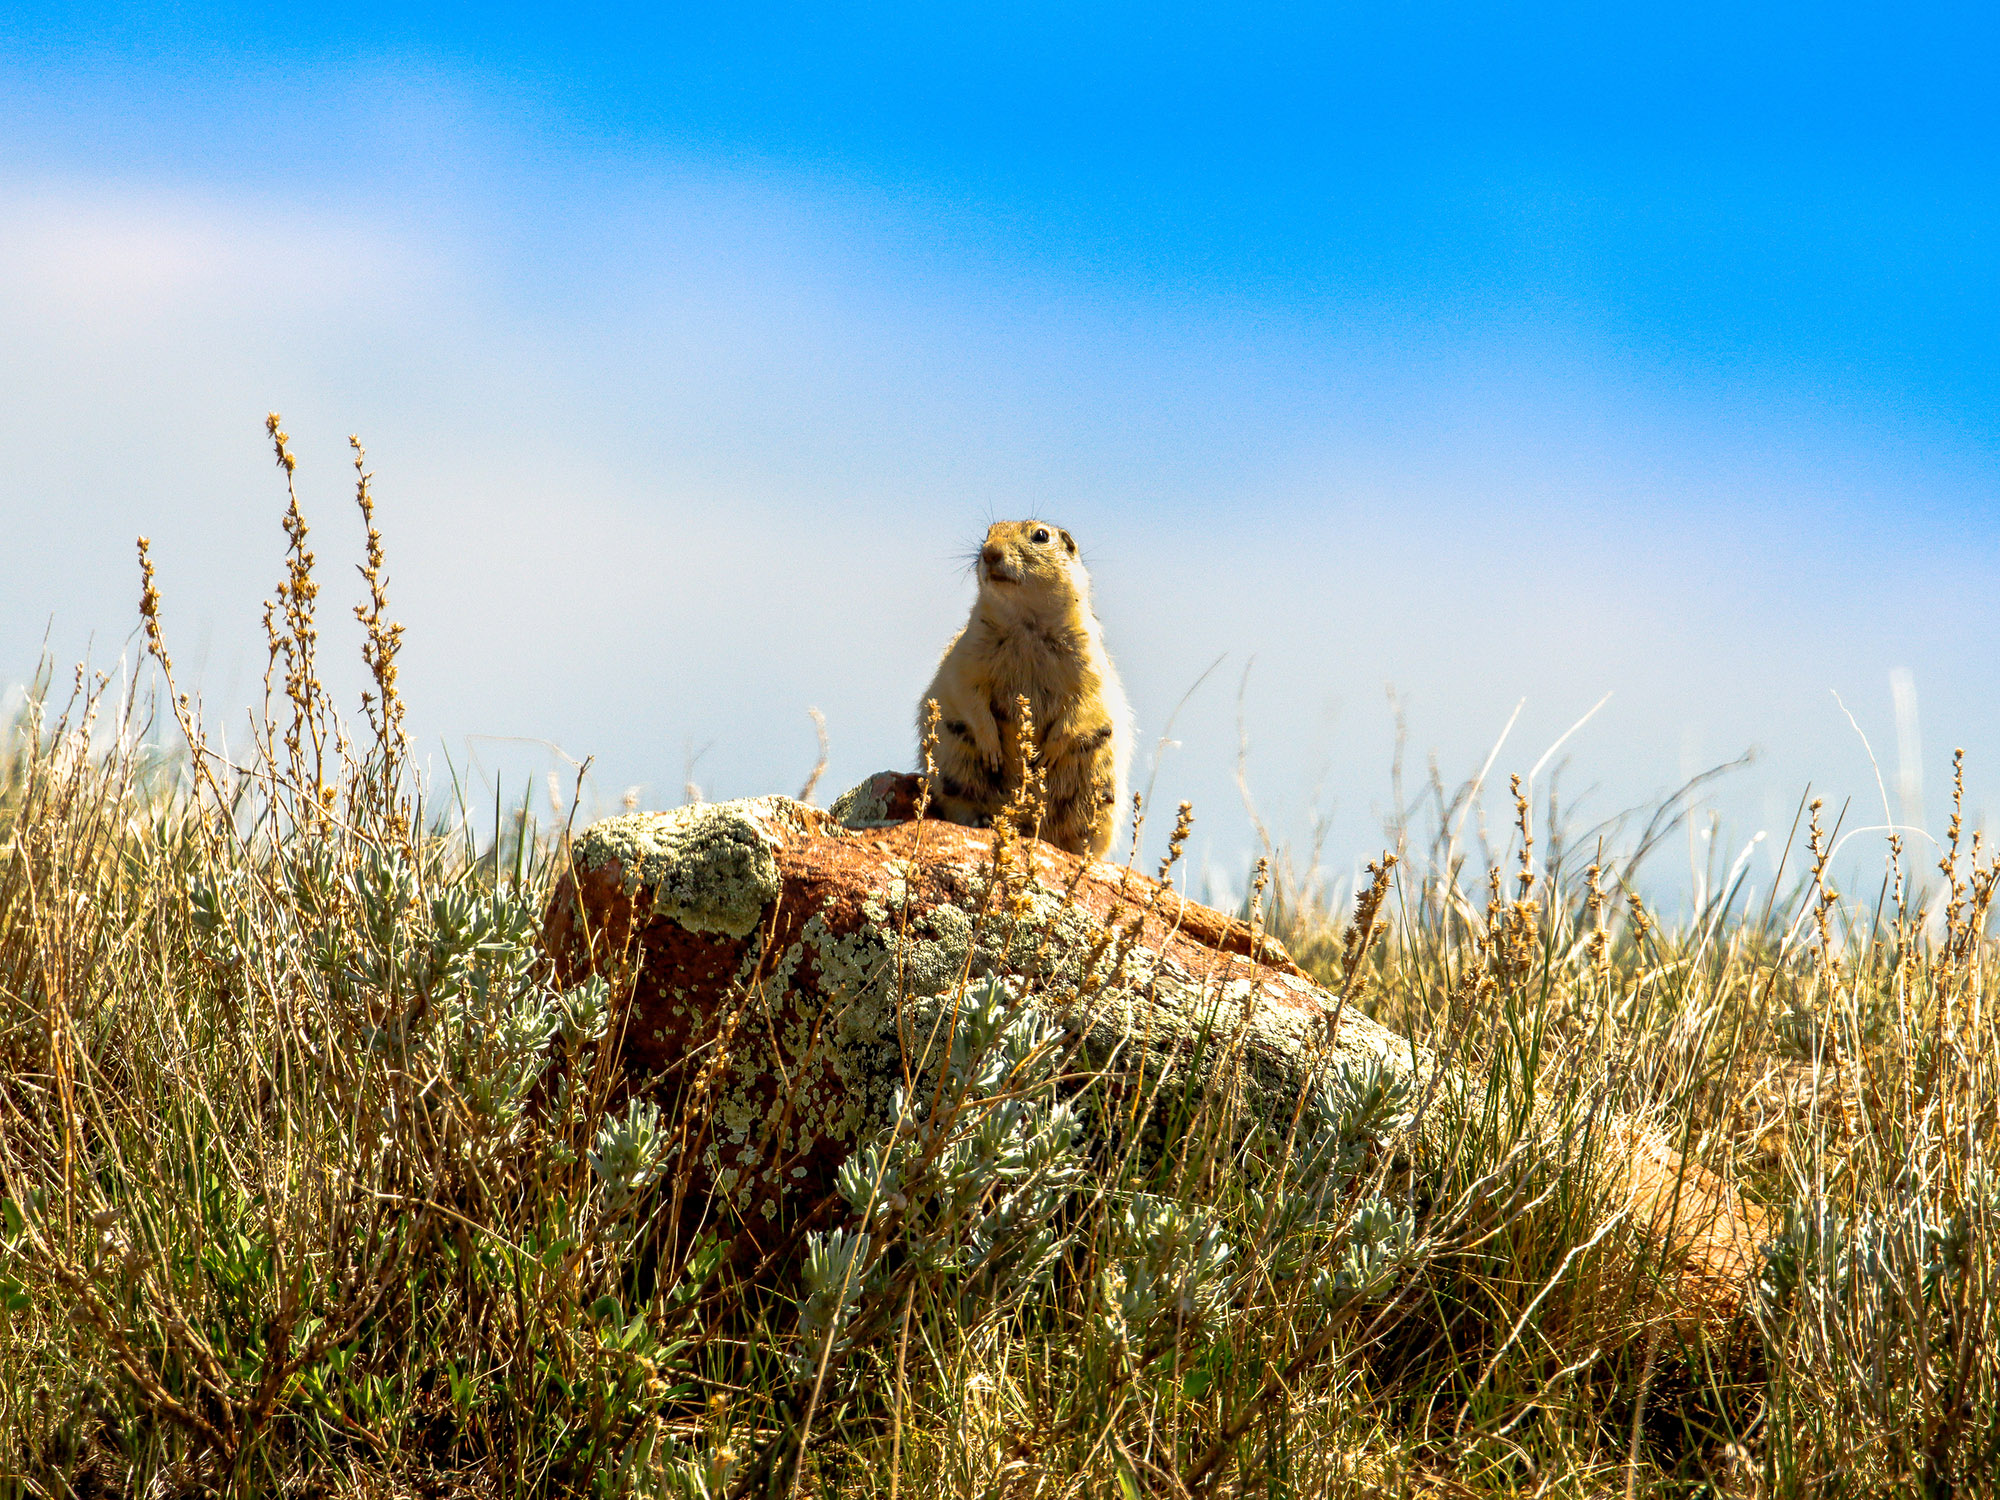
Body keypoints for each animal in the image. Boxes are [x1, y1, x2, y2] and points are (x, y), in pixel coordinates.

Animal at [917, 519, 1131, 858]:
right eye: (987, 533)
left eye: (1040, 535)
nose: (990, 553)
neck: (1027, 622)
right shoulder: (967, 654)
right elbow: (969, 696)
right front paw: (993, 749)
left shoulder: (1089, 662)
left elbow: (1083, 705)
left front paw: (1045, 756)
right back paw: (983, 820)